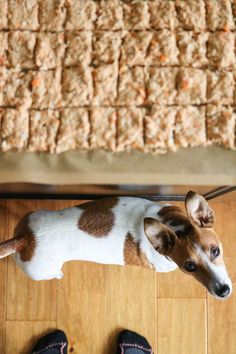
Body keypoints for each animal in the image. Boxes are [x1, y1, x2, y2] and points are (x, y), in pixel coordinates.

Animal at [0, 191, 232, 298]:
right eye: (189, 266)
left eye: (215, 251)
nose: (223, 291)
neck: (171, 225)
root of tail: (25, 239)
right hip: (43, 270)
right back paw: (58, 274)